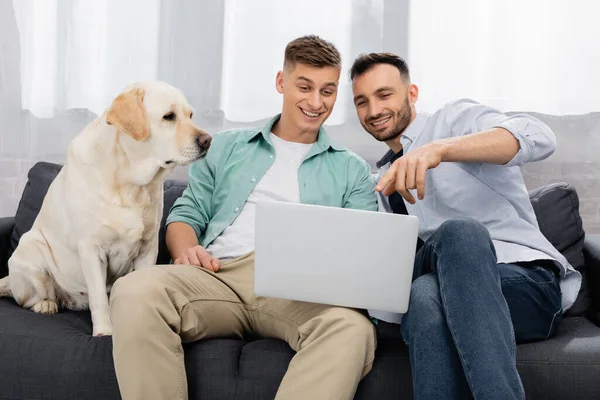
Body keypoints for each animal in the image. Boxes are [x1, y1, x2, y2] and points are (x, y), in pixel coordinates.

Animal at [0, 81, 211, 338]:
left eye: (190, 115)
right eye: (169, 116)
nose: (208, 140)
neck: (130, 184)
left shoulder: (148, 248)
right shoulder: (91, 249)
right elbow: (99, 298)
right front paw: (104, 331)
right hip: (32, 248)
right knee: (27, 298)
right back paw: (45, 304)